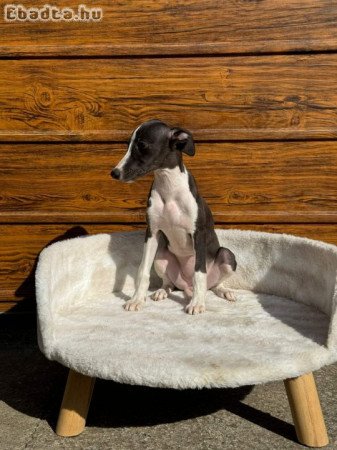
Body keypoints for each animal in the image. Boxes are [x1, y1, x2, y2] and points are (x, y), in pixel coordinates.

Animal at [111, 120, 236, 316]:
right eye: (128, 145)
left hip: (227, 255)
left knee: (214, 284)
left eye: (142, 145)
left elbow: (199, 273)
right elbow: (142, 270)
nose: (115, 173)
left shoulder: (198, 234)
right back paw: (162, 291)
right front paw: (137, 299)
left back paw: (224, 291)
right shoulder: (152, 232)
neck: (169, 186)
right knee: (169, 283)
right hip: (161, 257)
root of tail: (186, 286)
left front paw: (197, 304)